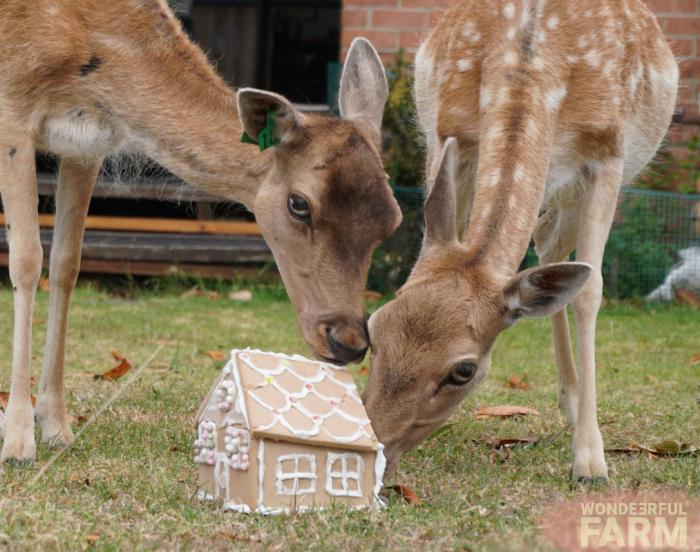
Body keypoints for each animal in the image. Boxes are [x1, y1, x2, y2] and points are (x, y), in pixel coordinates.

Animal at [0, 0, 401, 463]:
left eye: (392, 220)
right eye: (299, 204)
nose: (347, 341)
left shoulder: (85, 147)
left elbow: (66, 265)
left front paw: (57, 426)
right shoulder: (12, 114)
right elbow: (26, 261)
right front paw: (18, 440)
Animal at [363, 0, 678, 483]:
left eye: (464, 371)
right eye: (373, 327)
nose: (372, 449)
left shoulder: (608, 154)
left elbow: (591, 290)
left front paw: (591, 460)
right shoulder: (449, 132)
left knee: (555, 248)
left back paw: (575, 408)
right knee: (546, 238)